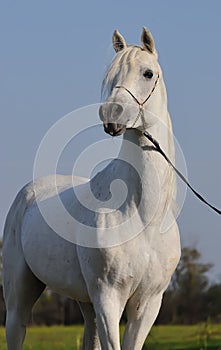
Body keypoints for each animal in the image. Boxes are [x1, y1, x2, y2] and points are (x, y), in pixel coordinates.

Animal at [2, 28, 180, 350]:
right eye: (112, 74)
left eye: (148, 73)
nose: (111, 114)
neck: (143, 216)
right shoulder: (108, 298)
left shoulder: (148, 304)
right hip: (20, 295)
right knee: (16, 328)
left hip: (86, 303)